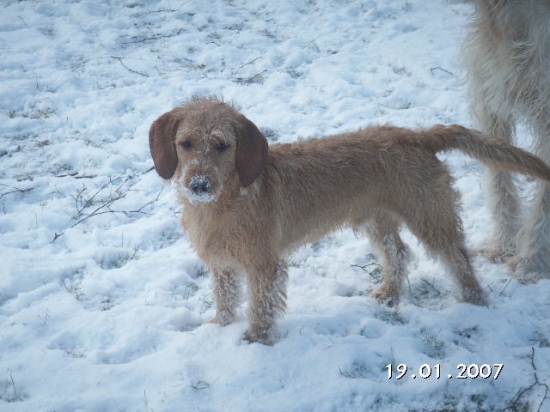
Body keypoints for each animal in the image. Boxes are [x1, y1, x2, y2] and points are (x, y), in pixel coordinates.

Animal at [149, 97, 550, 344]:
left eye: (222, 145)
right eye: (186, 143)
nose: (199, 185)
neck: (227, 200)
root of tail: (419, 135)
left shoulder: (264, 265)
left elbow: (260, 305)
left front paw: (255, 339)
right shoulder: (222, 264)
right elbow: (225, 297)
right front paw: (219, 328)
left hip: (430, 216)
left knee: (458, 259)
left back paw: (474, 301)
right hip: (378, 221)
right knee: (398, 254)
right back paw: (389, 293)